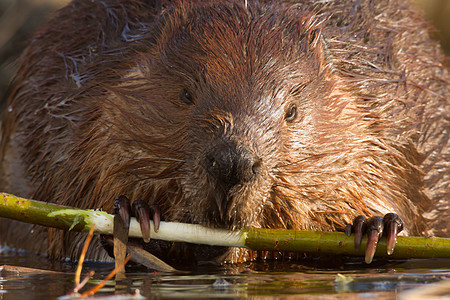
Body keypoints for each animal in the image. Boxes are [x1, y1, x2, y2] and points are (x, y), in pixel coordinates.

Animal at [0, 0, 448, 264]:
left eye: (292, 111)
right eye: (185, 94)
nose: (233, 161)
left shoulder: (389, 123)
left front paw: (376, 227)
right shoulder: (72, 114)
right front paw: (134, 214)